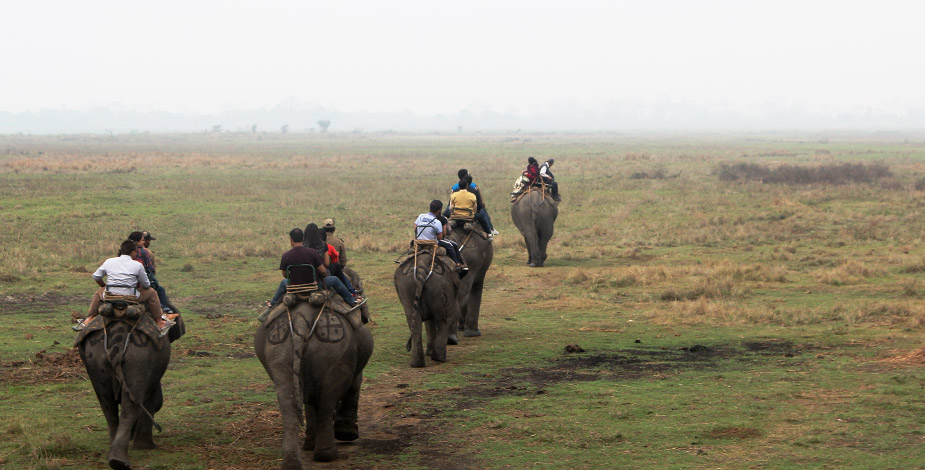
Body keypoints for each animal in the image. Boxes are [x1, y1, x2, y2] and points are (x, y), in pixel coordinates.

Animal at [76, 308, 186, 470]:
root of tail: (118, 338)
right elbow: (153, 400)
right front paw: (145, 447)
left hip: (96, 359)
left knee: (107, 405)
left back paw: (115, 456)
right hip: (139, 357)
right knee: (131, 407)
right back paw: (122, 459)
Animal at [254, 296, 374, 468]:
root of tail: (300, 321)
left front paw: (310, 444)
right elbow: (355, 382)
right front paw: (347, 434)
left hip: (278, 352)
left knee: (288, 401)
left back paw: (292, 463)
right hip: (335, 353)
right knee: (327, 400)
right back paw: (327, 455)